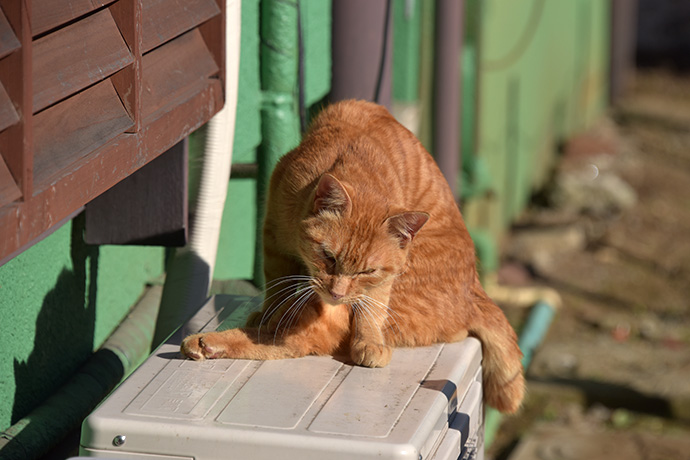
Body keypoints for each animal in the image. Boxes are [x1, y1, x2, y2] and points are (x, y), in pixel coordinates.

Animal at [180, 99, 524, 414]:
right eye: (328, 257)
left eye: (367, 272)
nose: (337, 292)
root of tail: (477, 290)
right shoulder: (273, 239)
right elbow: (277, 285)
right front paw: (272, 311)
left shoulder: (379, 284)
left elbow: (367, 312)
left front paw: (368, 342)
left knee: (298, 340)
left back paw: (206, 343)